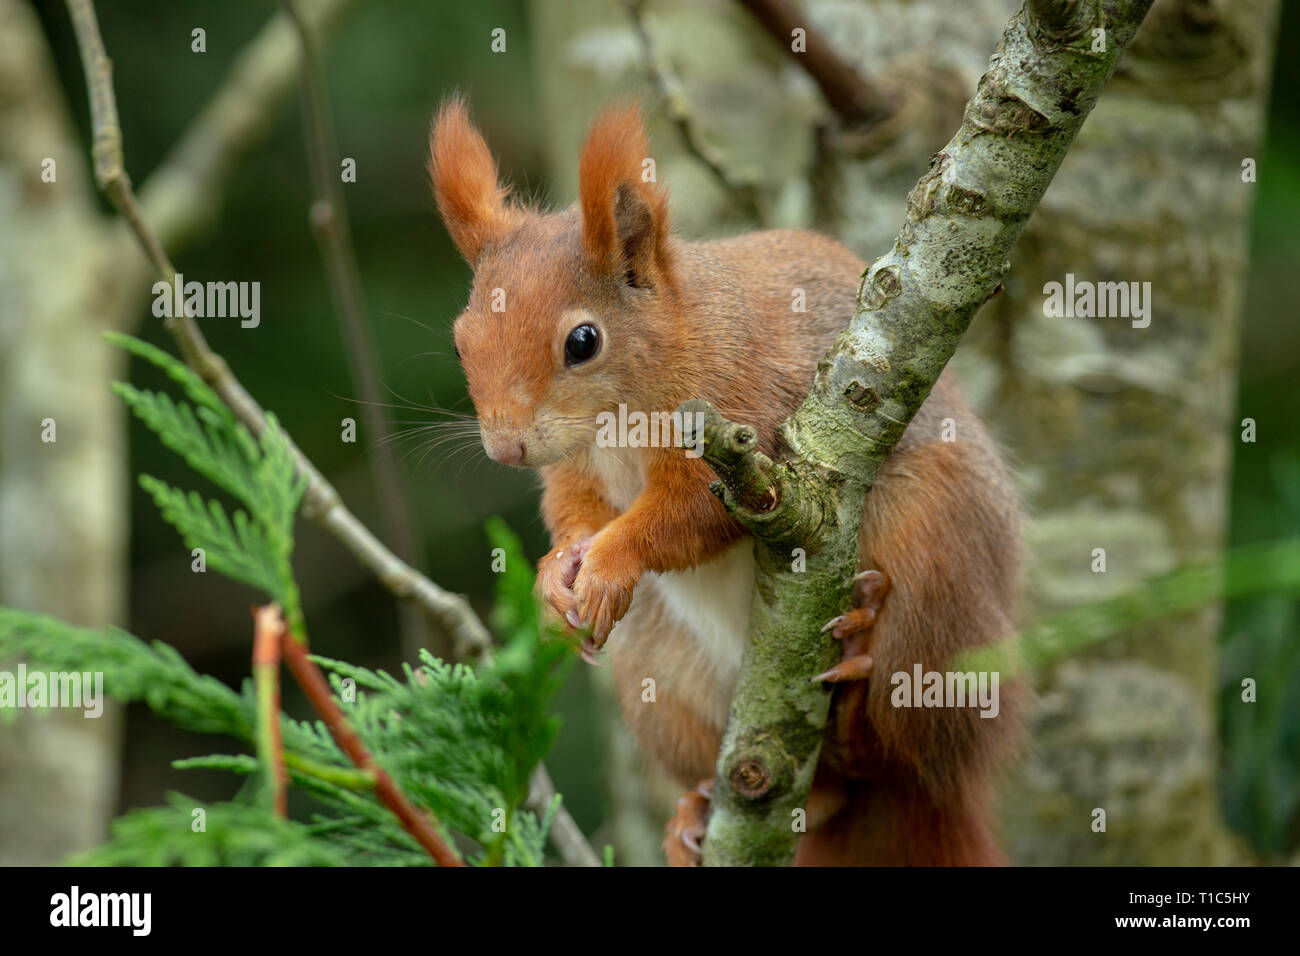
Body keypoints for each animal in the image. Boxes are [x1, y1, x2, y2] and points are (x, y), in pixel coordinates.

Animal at [431, 97, 1019, 868]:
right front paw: (556, 573)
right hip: (661, 682)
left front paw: (610, 560)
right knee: (828, 794)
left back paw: (860, 680)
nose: (506, 448)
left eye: (582, 342)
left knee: (904, 752)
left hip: (937, 561)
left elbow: (689, 518)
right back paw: (701, 810)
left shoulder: (746, 420)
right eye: (460, 341)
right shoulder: (577, 468)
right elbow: (574, 509)